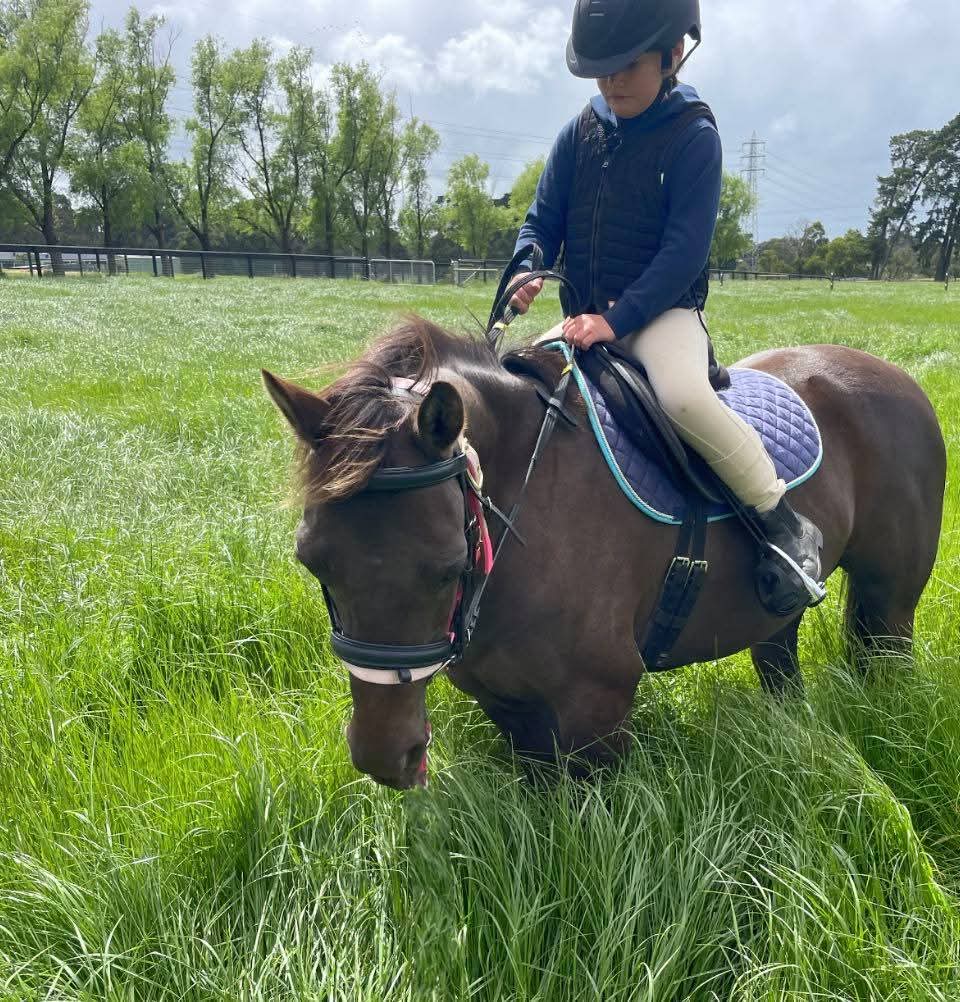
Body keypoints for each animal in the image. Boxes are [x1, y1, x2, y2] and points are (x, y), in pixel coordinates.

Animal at [263, 317, 946, 790]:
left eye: (447, 566)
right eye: (312, 562)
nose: (385, 756)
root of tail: (896, 377)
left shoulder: (600, 713)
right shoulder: (510, 707)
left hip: (891, 610)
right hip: (777, 617)